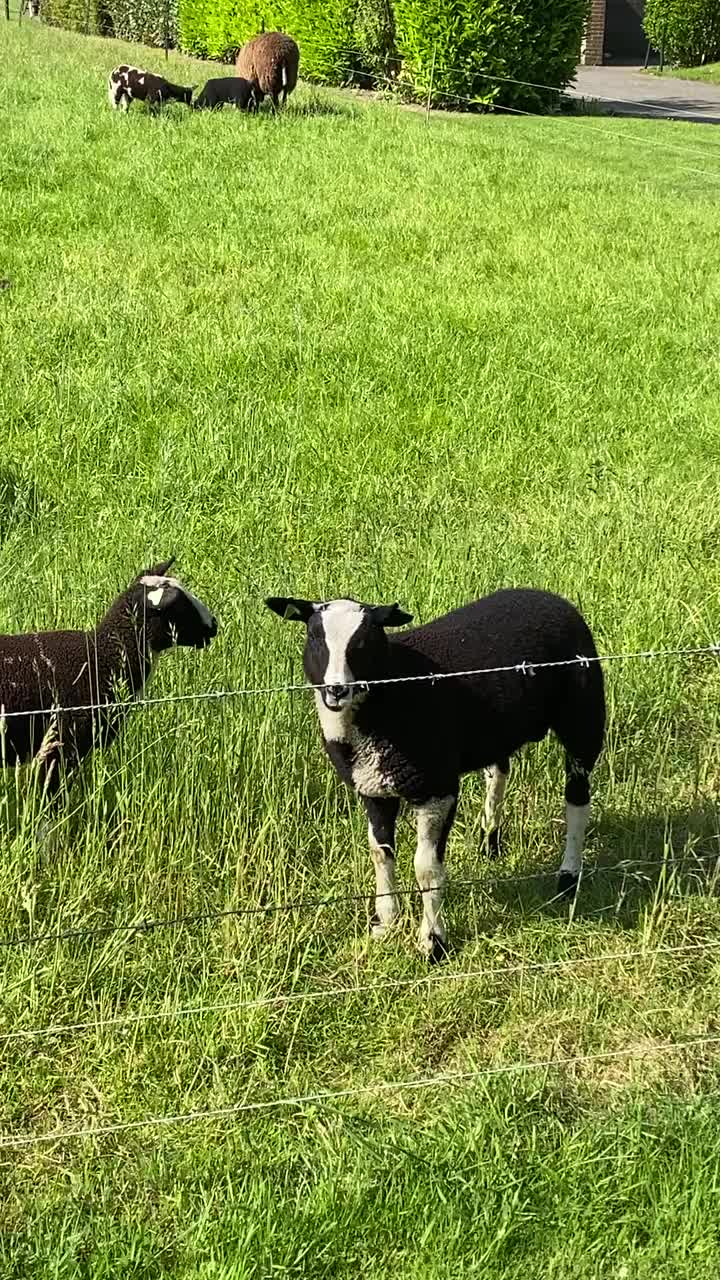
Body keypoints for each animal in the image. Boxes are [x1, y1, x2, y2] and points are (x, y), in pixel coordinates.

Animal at [266, 588, 602, 962]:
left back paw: (568, 878)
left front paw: (432, 942)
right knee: (498, 773)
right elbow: (380, 854)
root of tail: (547, 595)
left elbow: (426, 868)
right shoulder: (373, 787)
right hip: (494, 731)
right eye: (314, 636)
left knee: (577, 797)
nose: (336, 690)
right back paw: (489, 842)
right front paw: (385, 923)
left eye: (365, 640)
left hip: (582, 715)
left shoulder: (437, 789)